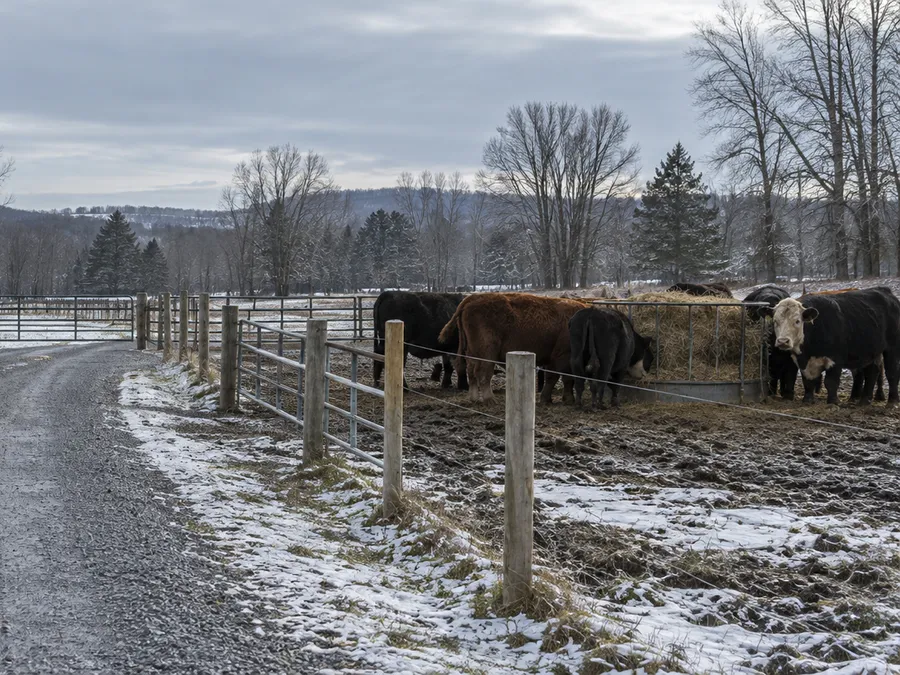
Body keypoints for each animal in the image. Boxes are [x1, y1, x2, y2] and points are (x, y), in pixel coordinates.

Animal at [439, 293, 589, 403]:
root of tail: (472, 298)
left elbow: (559, 378)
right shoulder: (562, 356)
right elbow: (562, 378)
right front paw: (563, 399)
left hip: (472, 352)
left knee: (471, 371)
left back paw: (474, 398)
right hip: (488, 352)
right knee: (483, 372)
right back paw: (490, 399)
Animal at [759, 287, 900, 405]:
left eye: (797, 321)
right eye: (775, 321)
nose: (783, 341)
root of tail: (885, 291)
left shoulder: (836, 359)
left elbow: (831, 382)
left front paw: (833, 401)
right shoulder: (802, 361)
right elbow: (808, 381)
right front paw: (807, 399)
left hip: (892, 348)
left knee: (892, 372)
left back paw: (892, 401)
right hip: (872, 351)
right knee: (872, 373)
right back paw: (864, 400)